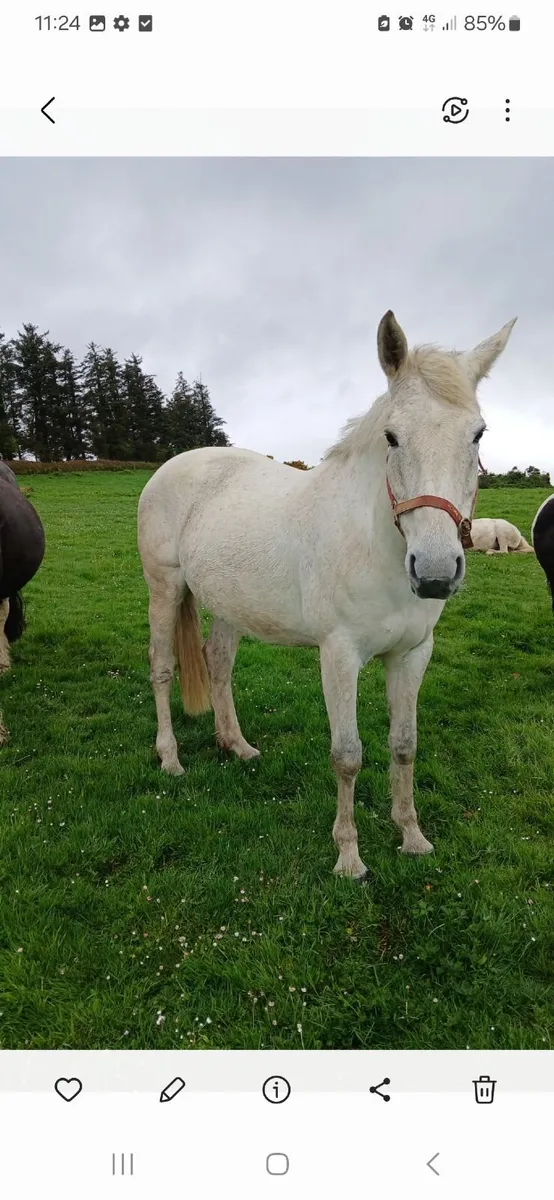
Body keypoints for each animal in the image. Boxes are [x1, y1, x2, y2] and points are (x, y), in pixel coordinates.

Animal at [137, 311, 516, 879]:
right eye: (392, 437)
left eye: (477, 434)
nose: (433, 574)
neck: (374, 546)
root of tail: (171, 467)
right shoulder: (339, 656)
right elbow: (348, 755)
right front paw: (349, 856)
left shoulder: (413, 653)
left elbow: (404, 745)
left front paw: (412, 836)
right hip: (164, 587)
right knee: (163, 667)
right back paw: (171, 758)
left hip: (230, 604)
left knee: (217, 661)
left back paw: (237, 746)